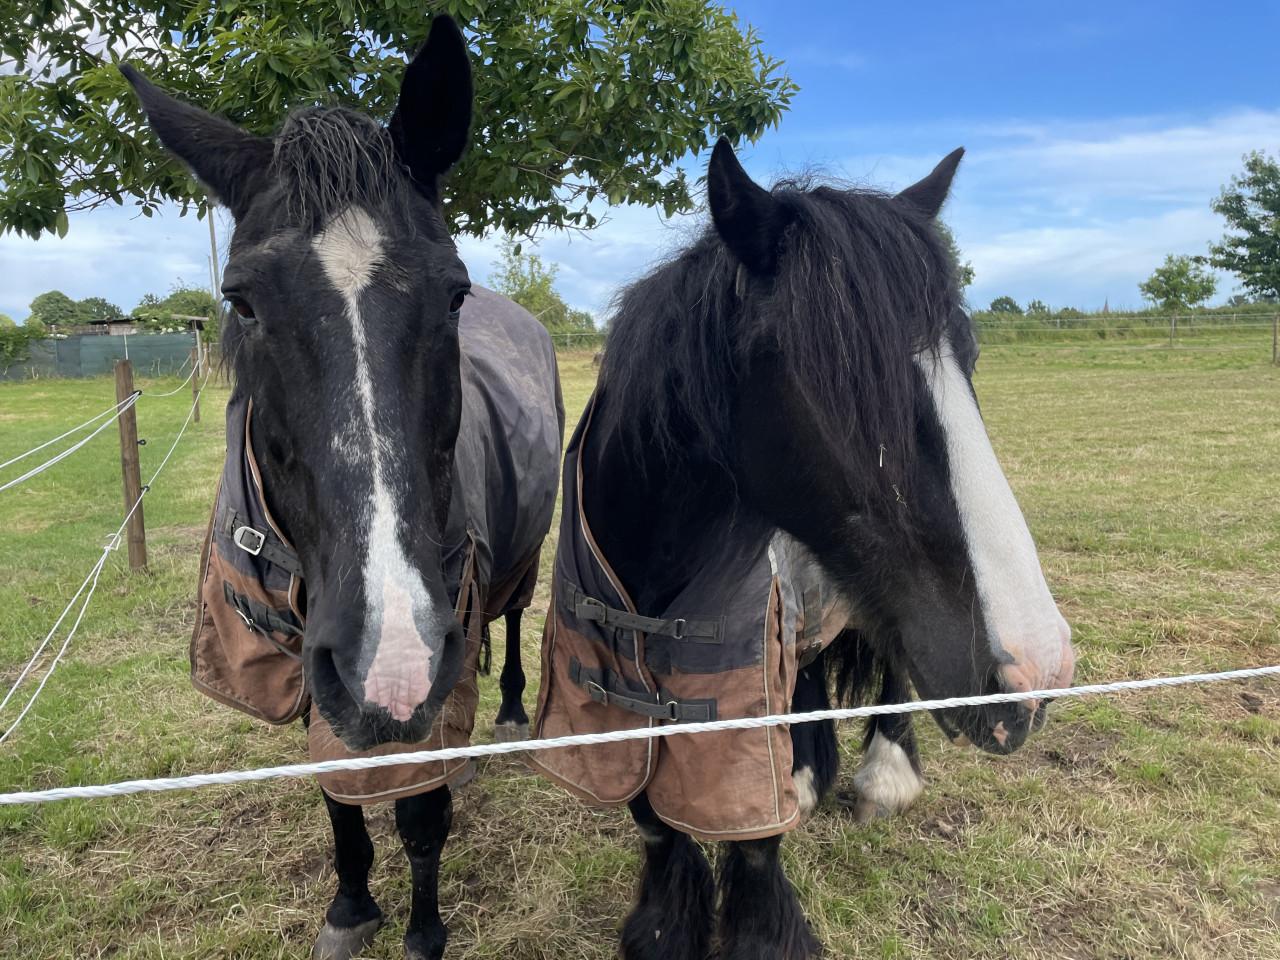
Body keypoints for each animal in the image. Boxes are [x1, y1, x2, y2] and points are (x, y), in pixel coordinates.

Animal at [124, 17, 562, 960]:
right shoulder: (307, 658)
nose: (388, 661)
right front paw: (352, 905)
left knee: (509, 621)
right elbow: (339, 794)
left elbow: (422, 812)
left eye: (453, 293)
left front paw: (423, 930)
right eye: (240, 299)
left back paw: (508, 712)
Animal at [531, 139, 1075, 960]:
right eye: (839, 378)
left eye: (968, 360)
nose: (1036, 670)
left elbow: (755, 843)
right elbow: (655, 817)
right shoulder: (627, 706)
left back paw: (884, 773)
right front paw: (666, 925)